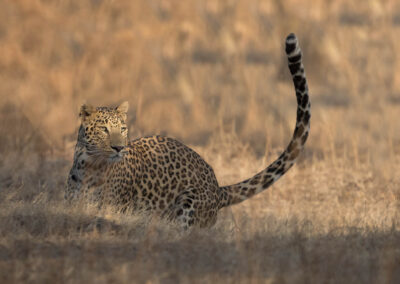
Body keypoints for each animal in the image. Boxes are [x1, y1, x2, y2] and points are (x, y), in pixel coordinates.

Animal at [65, 33, 310, 229]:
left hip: (188, 205)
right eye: (104, 129)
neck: (91, 166)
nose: (118, 148)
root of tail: (218, 189)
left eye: (123, 129)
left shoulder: (113, 207)